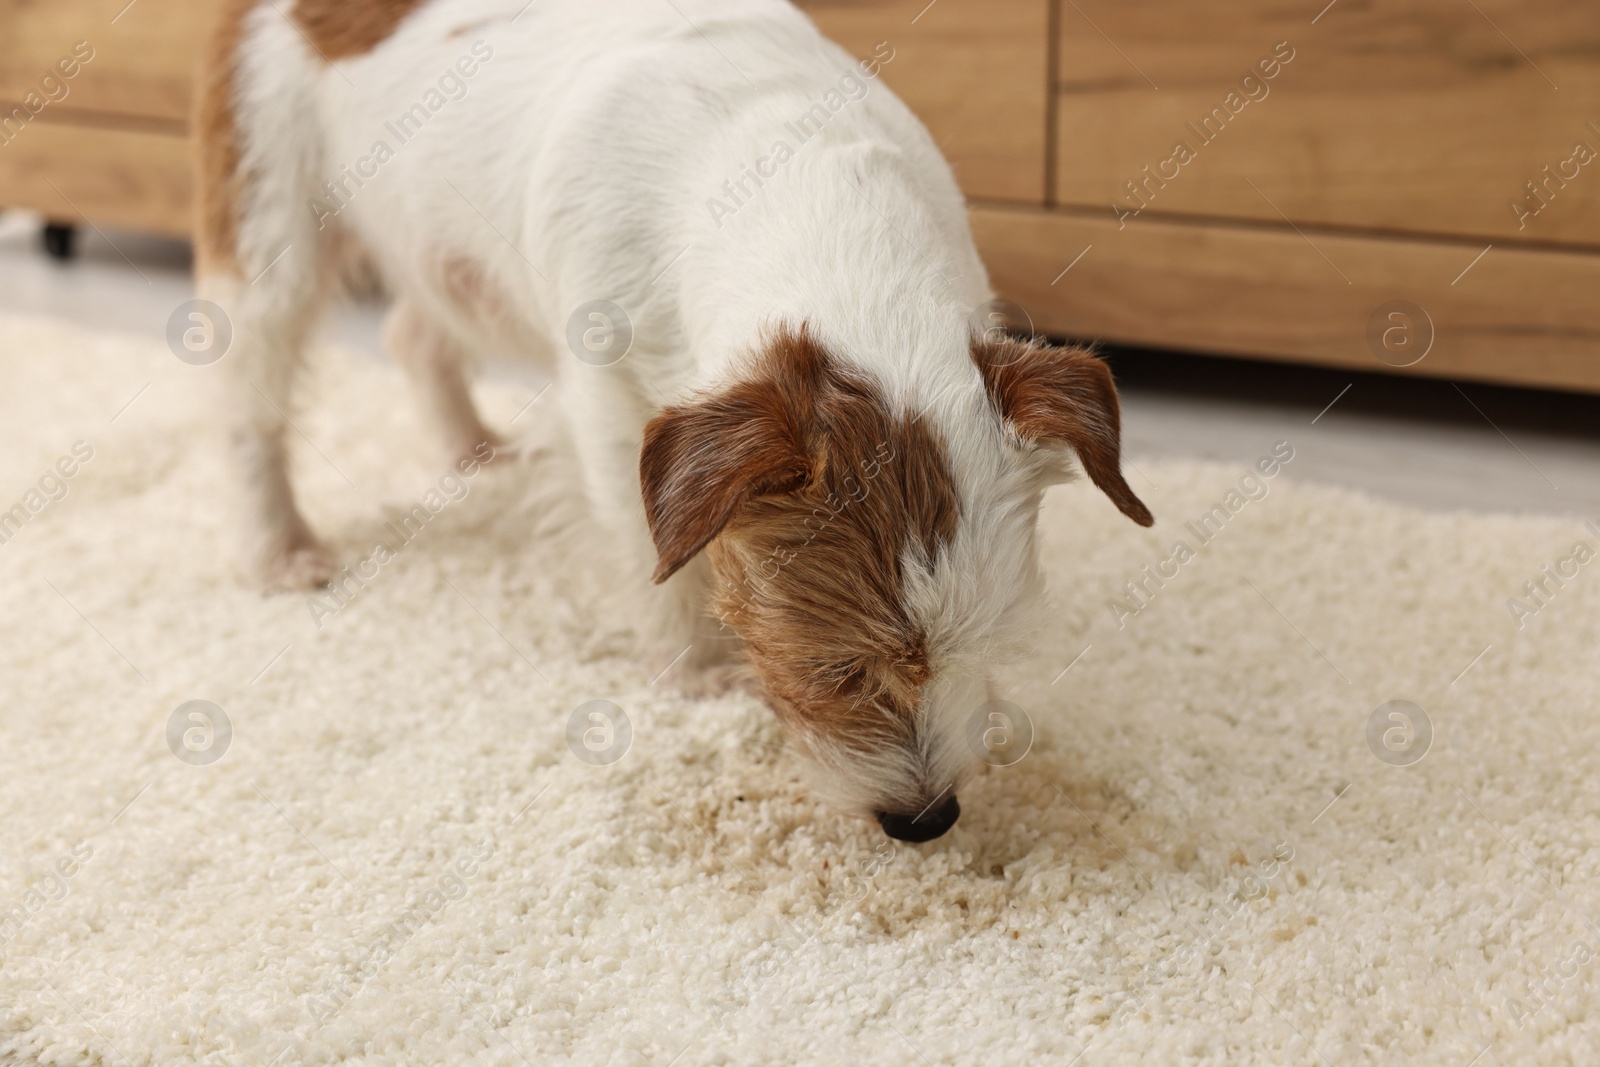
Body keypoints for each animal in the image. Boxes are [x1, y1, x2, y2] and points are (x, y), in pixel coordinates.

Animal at [196, 0, 1152, 844]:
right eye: (832, 669)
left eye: (994, 643)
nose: (927, 820)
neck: (794, 181)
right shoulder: (610, 410)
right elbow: (646, 545)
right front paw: (694, 671)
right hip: (271, 219)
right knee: (249, 401)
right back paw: (276, 547)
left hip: (445, 253)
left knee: (414, 331)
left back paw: (472, 447)